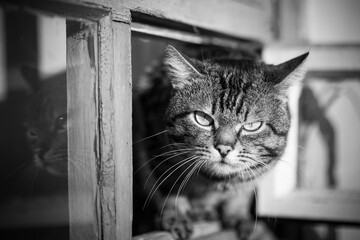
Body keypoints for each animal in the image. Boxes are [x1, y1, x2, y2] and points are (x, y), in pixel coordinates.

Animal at [134, 44, 308, 238]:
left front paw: (237, 215)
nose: (224, 148)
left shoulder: (258, 171)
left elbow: (242, 193)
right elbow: (169, 188)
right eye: (202, 118)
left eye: (252, 125)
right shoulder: (157, 152)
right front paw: (177, 215)